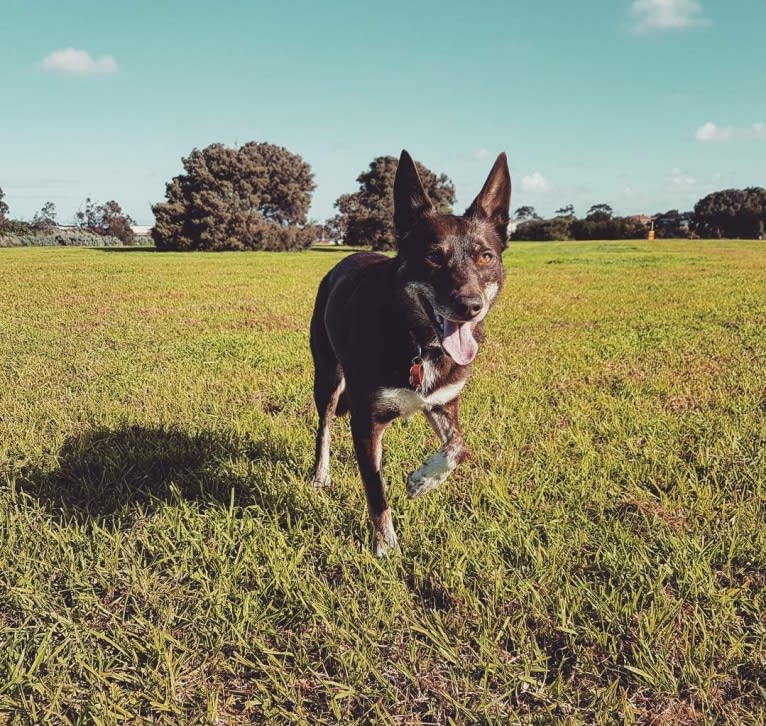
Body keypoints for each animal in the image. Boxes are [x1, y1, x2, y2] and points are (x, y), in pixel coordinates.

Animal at [308, 149, 512, 556]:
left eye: (485, 256)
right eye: (433, 256)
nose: (470, 306)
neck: (418, 340)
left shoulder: (443, 401)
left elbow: (459, 448)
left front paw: (422, 480)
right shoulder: (366, 421)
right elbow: (376, 489)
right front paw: (385, 548)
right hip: (327, 376)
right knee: (324, 427)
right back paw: (321, 475)